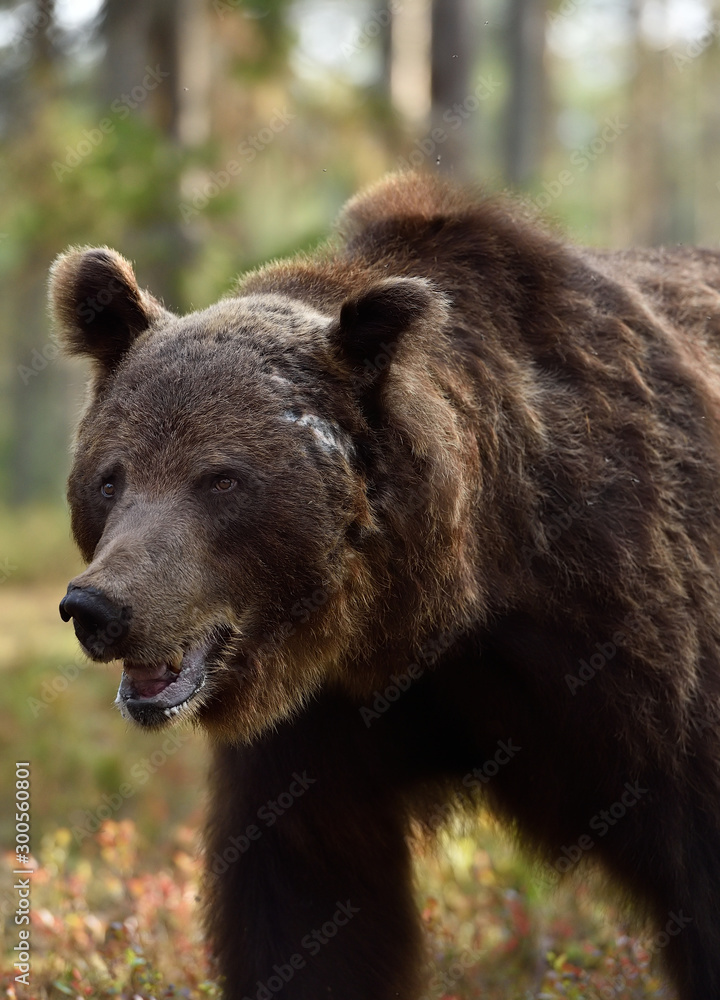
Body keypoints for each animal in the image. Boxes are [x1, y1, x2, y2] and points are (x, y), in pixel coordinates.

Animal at [50, 174, 720, 1000]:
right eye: (110, 478)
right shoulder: (318, 729)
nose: (98, 607)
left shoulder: (638, 661)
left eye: (221, 479)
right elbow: (308, 903)